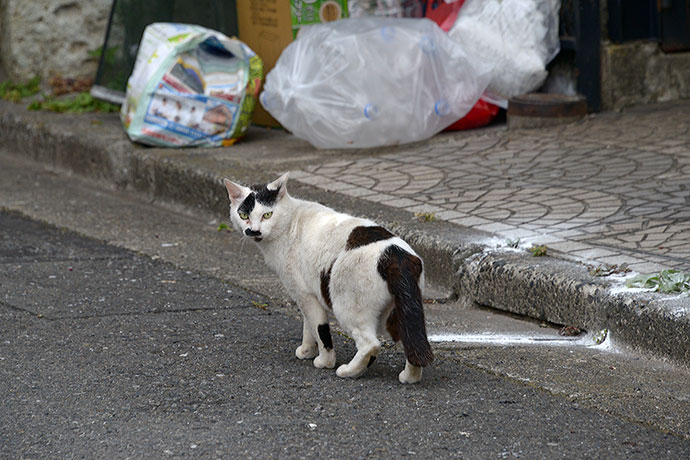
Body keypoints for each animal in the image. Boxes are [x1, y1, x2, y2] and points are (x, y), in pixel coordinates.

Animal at [223, 171, 432, 382]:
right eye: (244, 215)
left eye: (267, 215)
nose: (254, 230)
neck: (289, 223)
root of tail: (396, 254)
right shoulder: (309, 294)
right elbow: (308, 326)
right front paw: (307, 350)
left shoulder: (304, 293)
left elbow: (320, 329)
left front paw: (325, 361)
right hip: (400, 311)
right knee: (411, 340)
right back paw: (409, 376)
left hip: (346, 305)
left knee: (371, 344)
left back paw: (349, 371)